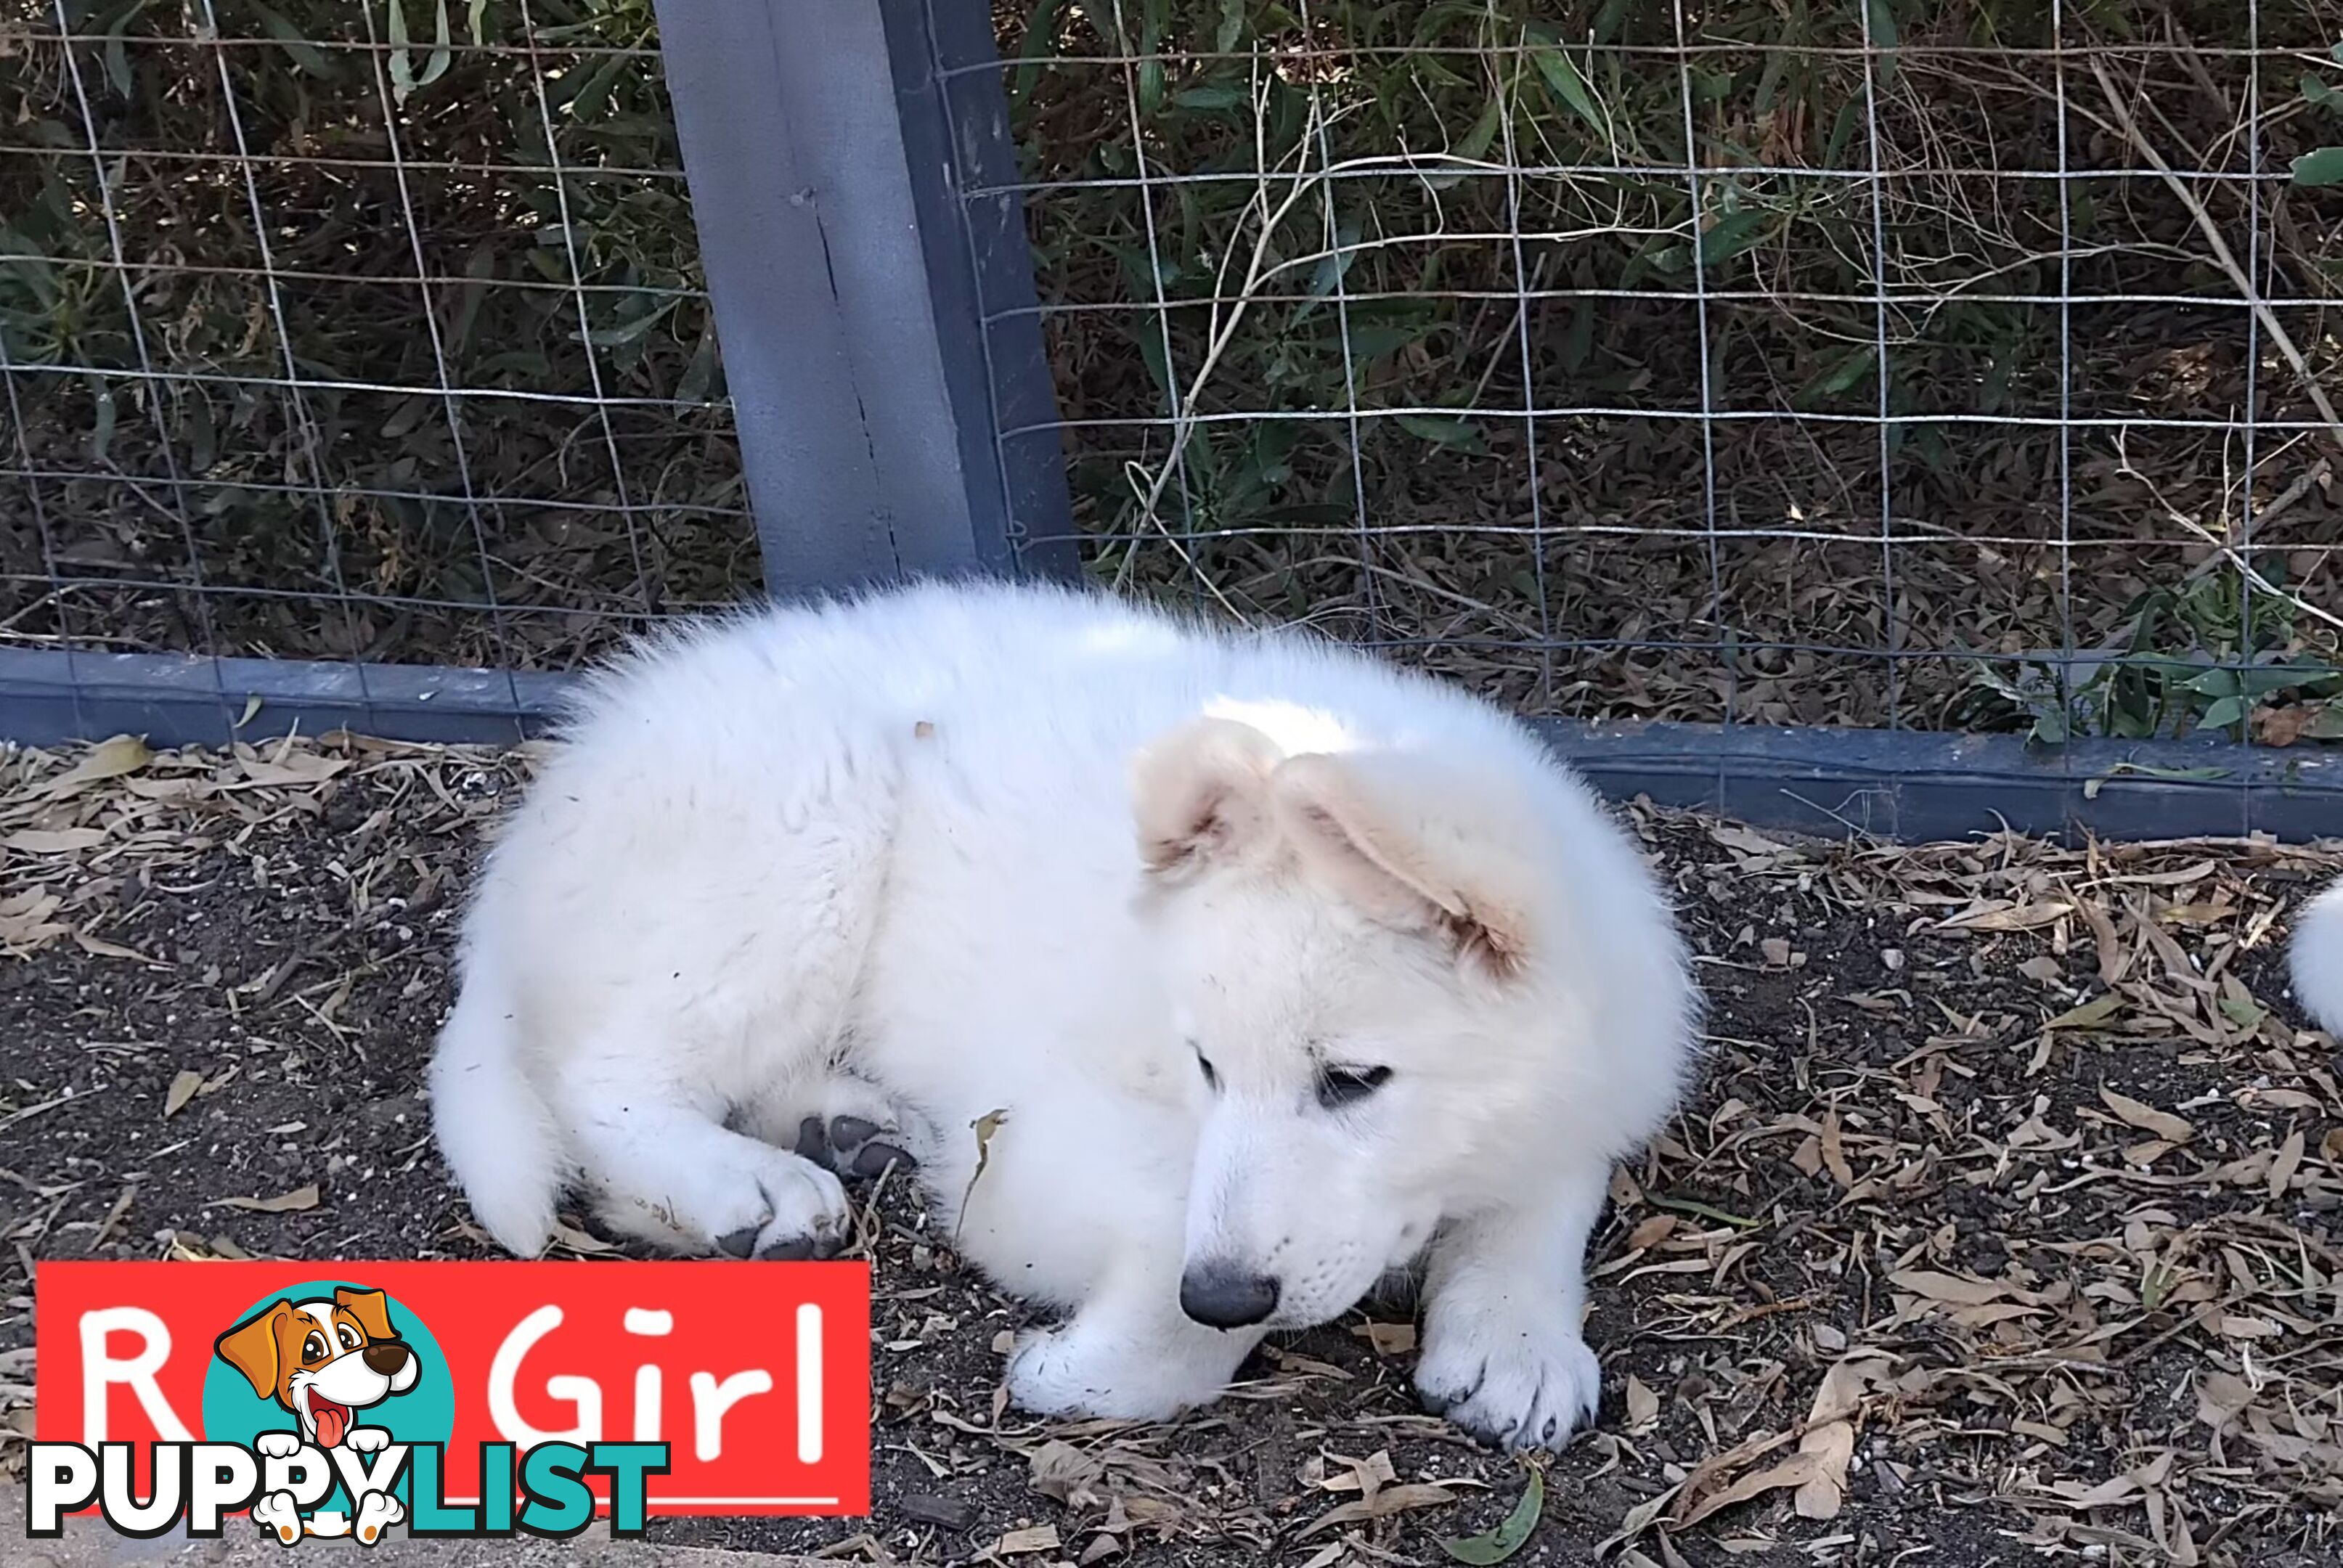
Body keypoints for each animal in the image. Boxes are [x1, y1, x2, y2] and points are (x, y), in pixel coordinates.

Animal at [426, 581, 1706, 1453]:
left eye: (1351, 1082)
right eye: (1205, 1067)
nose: (1219, 1286)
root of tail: (554, 797)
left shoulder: (1592, 1073)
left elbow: (1547, 1191)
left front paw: (1514, 1338)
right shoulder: (1044, 1139)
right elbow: (1173, 1269)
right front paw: (1098, 1363)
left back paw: (838, 1130)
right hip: (792, 848)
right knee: (600, 1079)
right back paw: (743, 1189)